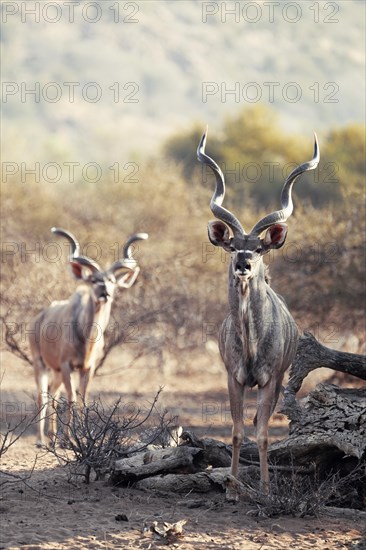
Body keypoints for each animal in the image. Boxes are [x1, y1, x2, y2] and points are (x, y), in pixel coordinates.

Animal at [29, 230, 148, 448]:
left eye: (112, 281)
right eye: (93, 280)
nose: (105, 293)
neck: (86, 340)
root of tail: (38, 318)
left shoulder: (87, 368)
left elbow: (83, 399)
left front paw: (82, 438)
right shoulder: (67, 365)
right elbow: (72, 398)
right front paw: (69, 439)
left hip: (56, 372)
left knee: (53, 393)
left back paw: (52, 438)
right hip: (40, 364)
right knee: (43, 396)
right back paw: (41, 440)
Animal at [197, 130, 318, 500]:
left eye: (260, 248)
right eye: (234, 246)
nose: (244, 264)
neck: (251, 342)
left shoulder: (269, 381)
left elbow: (263, 434)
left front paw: (264, 490)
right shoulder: (233, 378)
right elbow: (237, 432)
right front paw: (232, 489)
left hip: (278, 383)